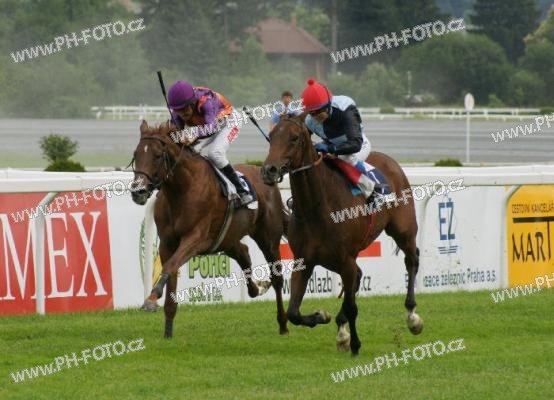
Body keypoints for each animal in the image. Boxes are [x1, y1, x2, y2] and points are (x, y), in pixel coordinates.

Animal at [129, 120, 289, 338]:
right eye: (136, 154)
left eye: (157, 155)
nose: (138, 191)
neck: (182, 190)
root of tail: (263, 175)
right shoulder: (167, 243)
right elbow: (170, 274)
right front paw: (168, 332)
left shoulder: (196, 238)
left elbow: (170, 266)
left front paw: (152, 299)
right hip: (228, 239)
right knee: (244, 253)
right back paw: (258, 288)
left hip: (268, 238)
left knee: (277, 277)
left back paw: (283, 324)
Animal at [261, 115, 422, 356]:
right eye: (271, 136)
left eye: (294, 138)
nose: (269, 170)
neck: (317, 207)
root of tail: (391, 162)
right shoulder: (305, 261)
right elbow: (294, 313)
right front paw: (322, 316)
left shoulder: (346, 259)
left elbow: (352, 306)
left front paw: (355, 343)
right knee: (358, 276)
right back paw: (341, 327)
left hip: (403, 231)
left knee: (411, 260)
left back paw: (412, 316)